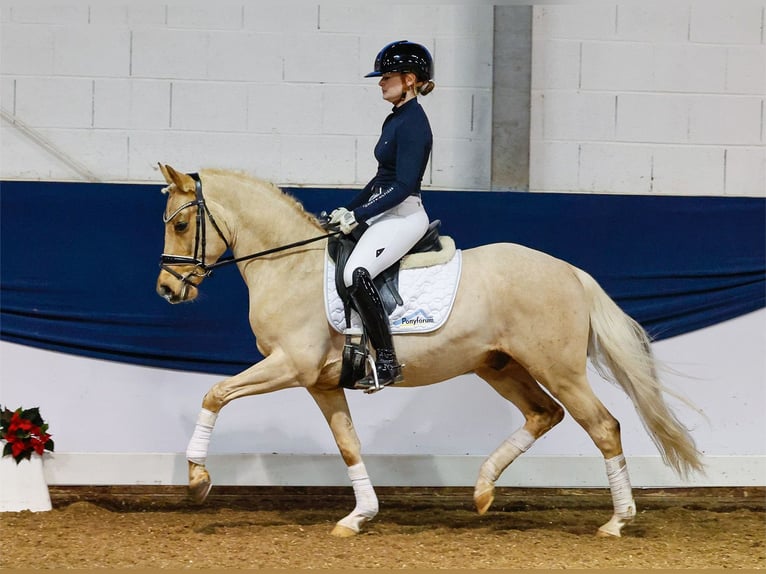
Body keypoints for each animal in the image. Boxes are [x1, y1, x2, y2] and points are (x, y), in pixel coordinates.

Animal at [154, 165, 704, 540]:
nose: (166, 289)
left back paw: (618, 521)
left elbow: (215, 393)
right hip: (499, 366)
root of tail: (570, 271)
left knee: (603, 426)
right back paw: (482, 489)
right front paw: (359, 516)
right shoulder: (321, 382)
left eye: (180, 226)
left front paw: (198, 479)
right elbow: (348, 444)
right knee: (544, 415)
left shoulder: (290, 365)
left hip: (558, 368)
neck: (290, 266)